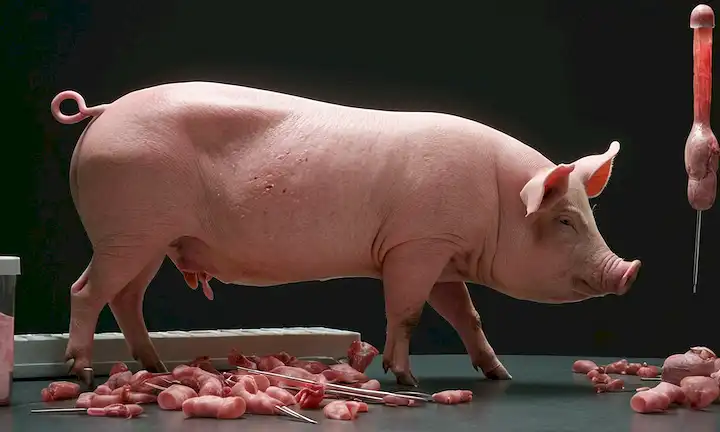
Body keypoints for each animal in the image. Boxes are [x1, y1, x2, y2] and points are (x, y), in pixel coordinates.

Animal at [50, 81, 641, 387]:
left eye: (587, 215)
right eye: (563, 221)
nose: (630, 271)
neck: (494, 204)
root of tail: (105, 111)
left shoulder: (439, 252)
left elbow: (465, 314)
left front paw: (500, 376)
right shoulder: (415, 245)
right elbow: (407, 312)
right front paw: (406, 381)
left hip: (147, 240)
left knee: (124, 297)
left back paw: (152, 367)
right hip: (129, 228)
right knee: (85, 291)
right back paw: (81, 374)